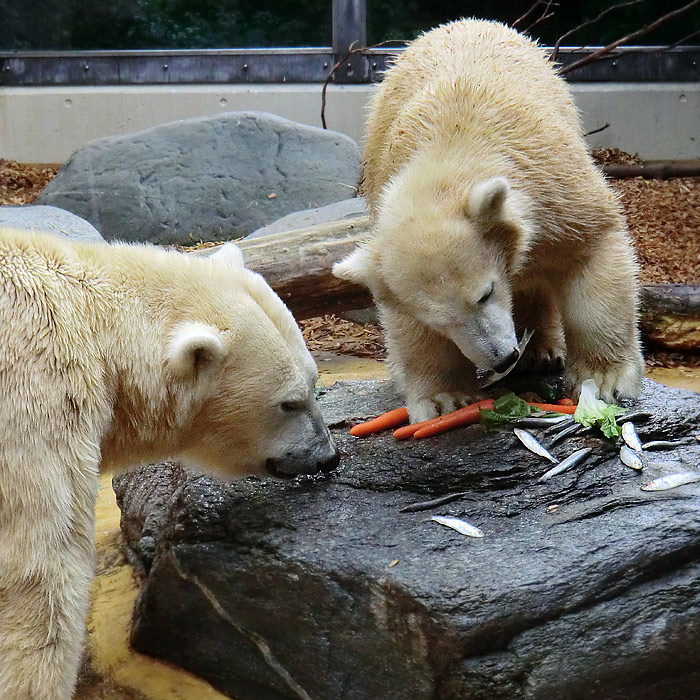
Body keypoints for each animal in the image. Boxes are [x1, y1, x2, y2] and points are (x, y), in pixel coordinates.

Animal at [0, 227, 340, 696]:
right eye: (289, 403)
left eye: (315, 382)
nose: (328, 456)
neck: (93, 324)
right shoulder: (35, 397)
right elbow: (38, 568)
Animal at [334, 16, 644, 422]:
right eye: (441, 322)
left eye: (486, 293)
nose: (502, 359)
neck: (452, 141)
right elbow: (409, 327)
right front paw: (443, 399)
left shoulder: (551, 185)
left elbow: (591, 251)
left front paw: (605, 380)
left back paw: (542, 352)